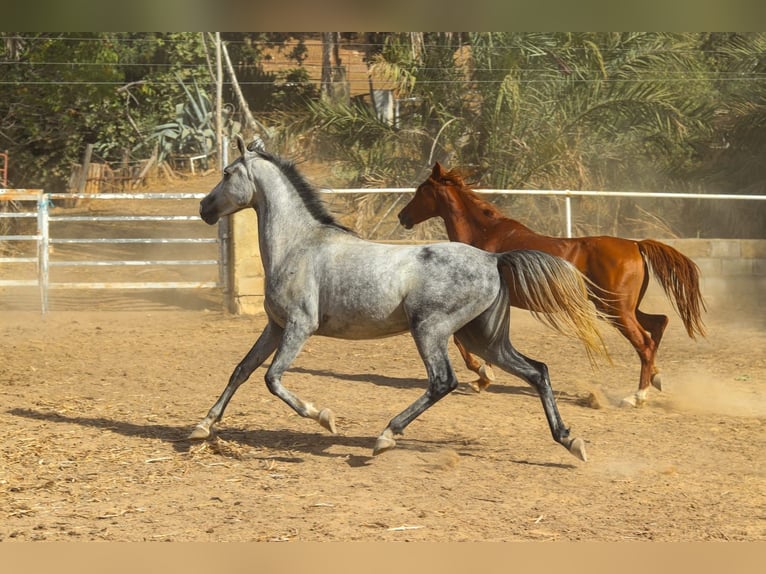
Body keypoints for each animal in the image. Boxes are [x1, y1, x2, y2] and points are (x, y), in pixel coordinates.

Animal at [188, 138, 608, 464]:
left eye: (227, 173)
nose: (204, 208)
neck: (299, 245)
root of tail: (494, 259)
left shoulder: (299, 326)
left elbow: (272, 378)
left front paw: (324, 417)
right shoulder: (274, 326)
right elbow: (241, 370)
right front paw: (202, 427)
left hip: (430, 329)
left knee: (443, 381)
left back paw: (385, 437)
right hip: (483, 338)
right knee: (537, 371)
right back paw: (570, 440)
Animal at [402, 162, 708, 410]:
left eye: (421, 191)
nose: (402, 216)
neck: (485, 237)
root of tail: (635, 244)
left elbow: (462, 340)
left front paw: (483, 375)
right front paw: (483, 379)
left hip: (617, 310)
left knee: (644, 342)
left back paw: (637, 396)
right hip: (621, 308)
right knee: (659, 323)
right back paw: (656, 378)